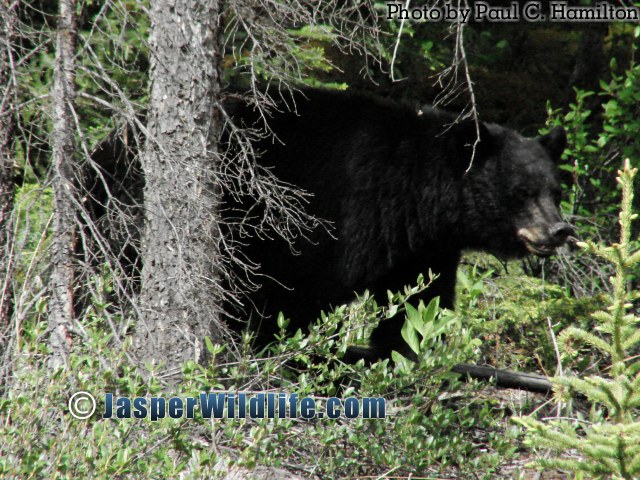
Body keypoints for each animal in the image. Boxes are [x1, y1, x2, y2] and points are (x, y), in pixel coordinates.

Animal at [87, 88, 572, 362]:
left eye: (554, 190)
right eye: (521, 192)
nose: (560, 231)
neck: (418, 195)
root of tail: (100, 153)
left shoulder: (420, 246)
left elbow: (418, 302)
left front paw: (402, 353)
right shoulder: (335, 220)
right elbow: (295, 298)